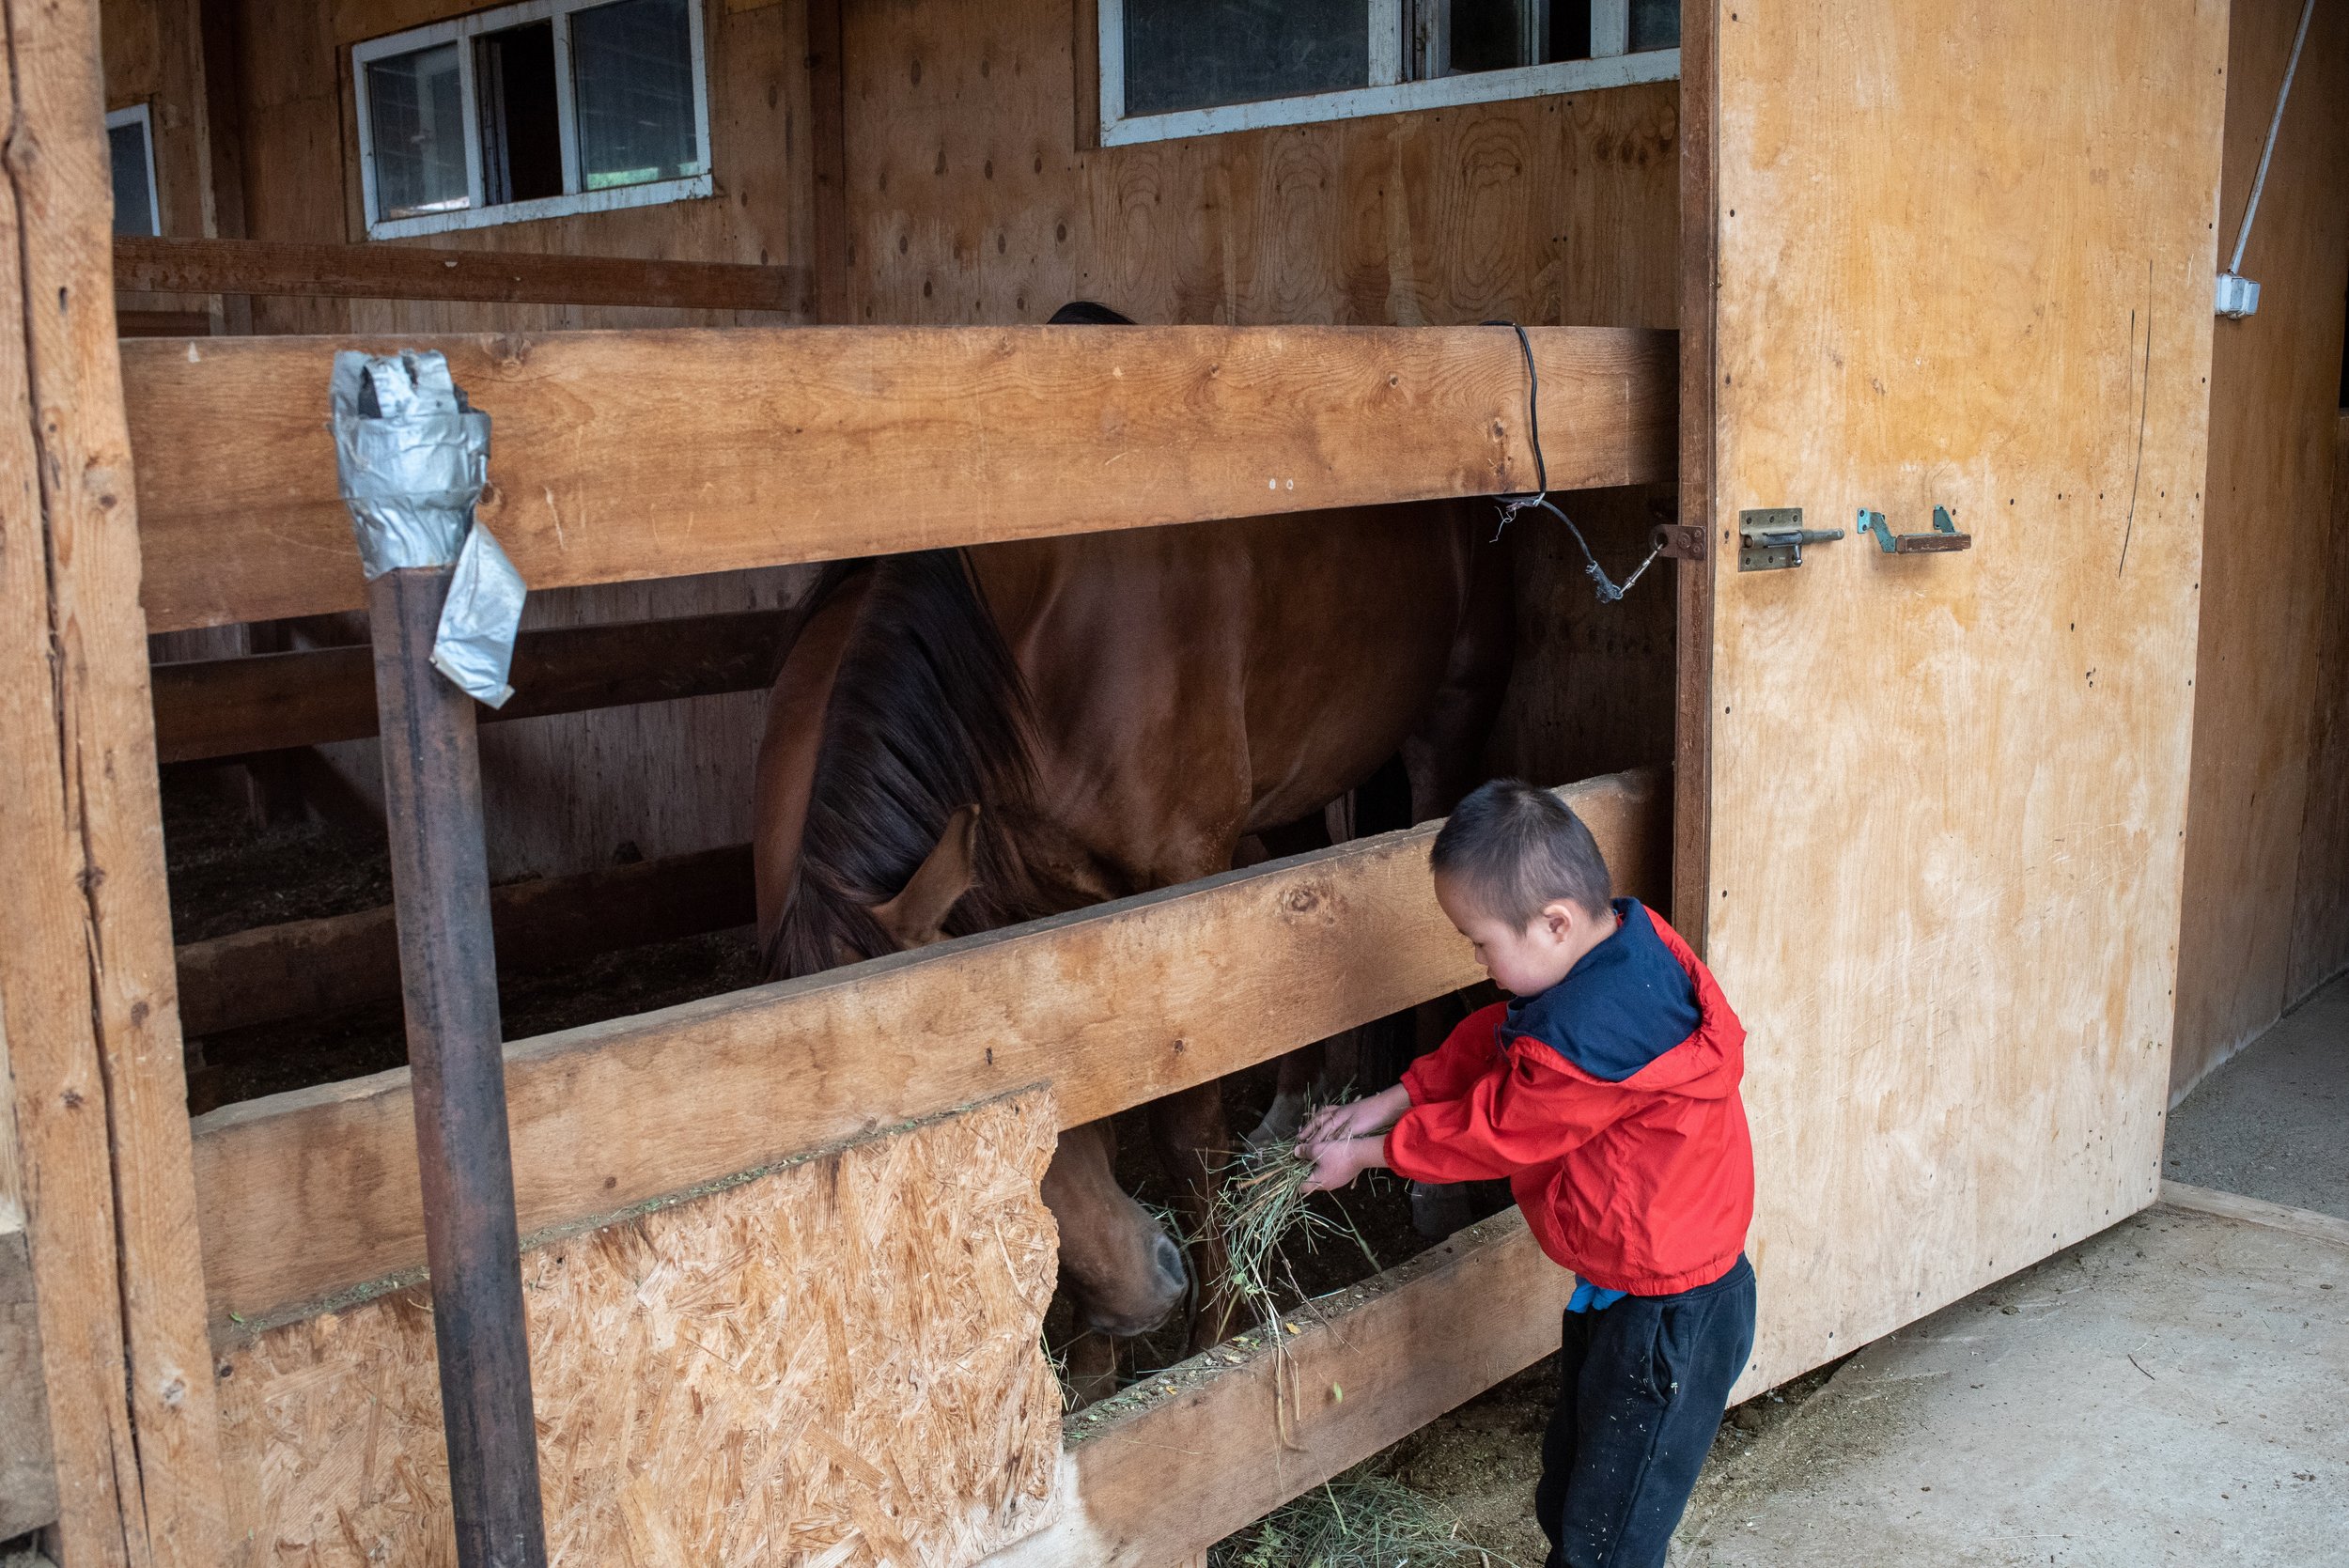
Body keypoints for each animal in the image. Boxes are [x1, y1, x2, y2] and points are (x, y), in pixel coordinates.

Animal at [761, 481, 1513, 1399]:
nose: (1149, 1292)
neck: (1027, 647)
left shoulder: (1174, 886)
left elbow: (1185, 1130)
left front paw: (1212, 1335)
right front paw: (1093, 1366)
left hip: (1450, 724)